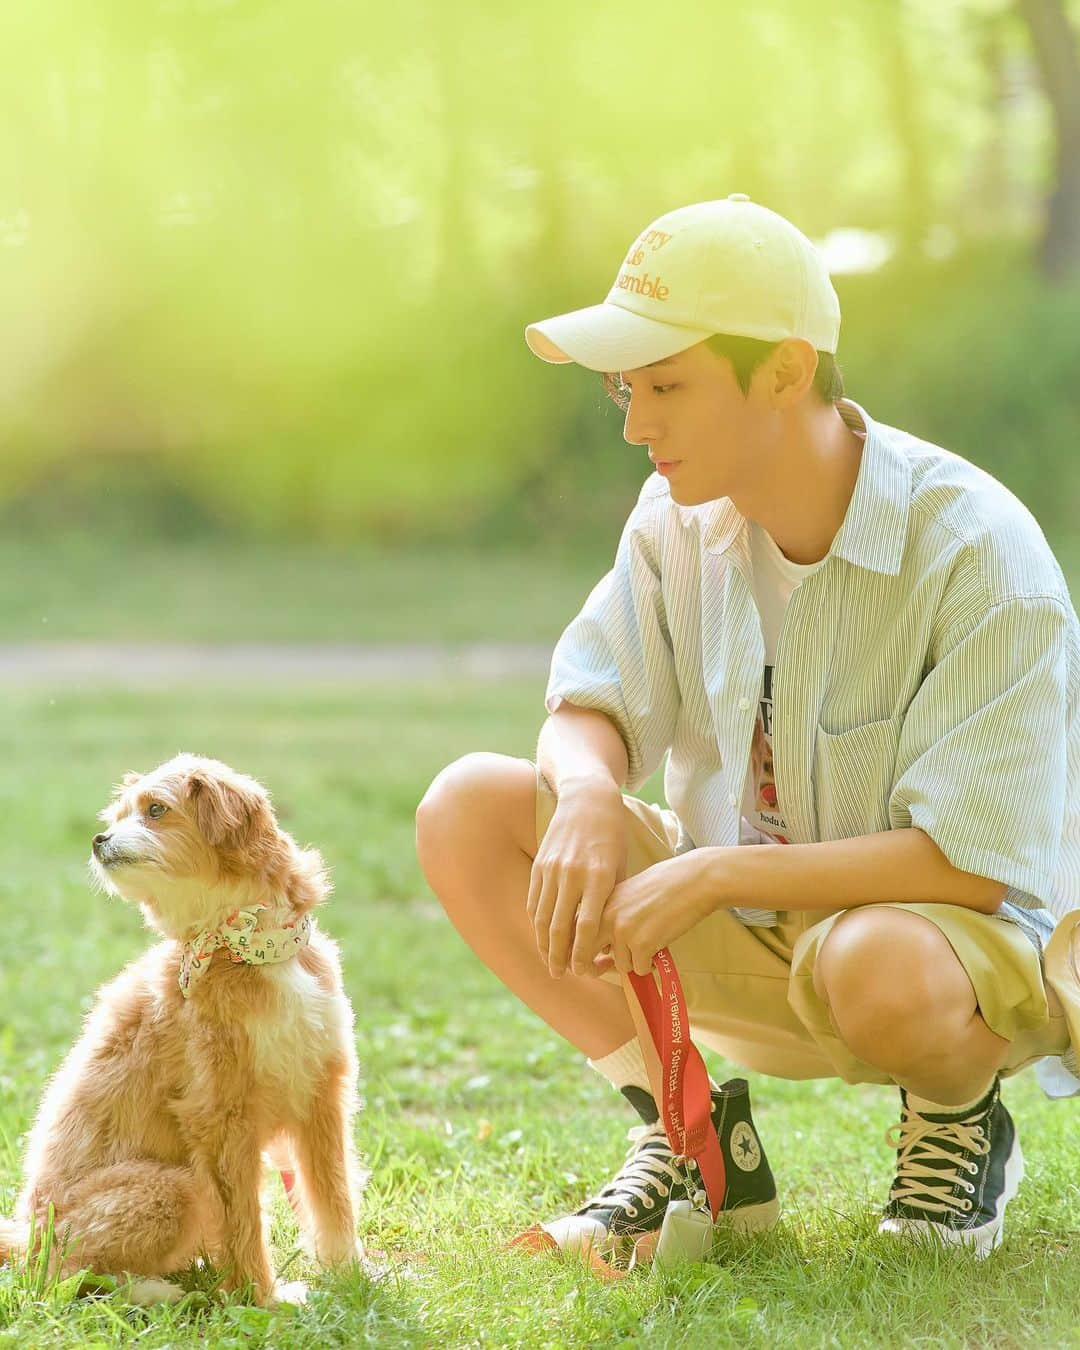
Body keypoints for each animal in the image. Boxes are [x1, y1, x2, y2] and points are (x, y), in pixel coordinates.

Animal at [0, 756, 364, 1301]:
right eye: (119, 815)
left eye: (155, 810)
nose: (98, 839)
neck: (247, 948)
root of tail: (26, 1237)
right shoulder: (220, 1120)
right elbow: (243, 1227)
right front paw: (264, 1301)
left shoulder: (322, 1096)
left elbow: (333, 1199)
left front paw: (356, 1279)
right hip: (173, 1186)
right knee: (62, 1280)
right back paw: (160, 1294)